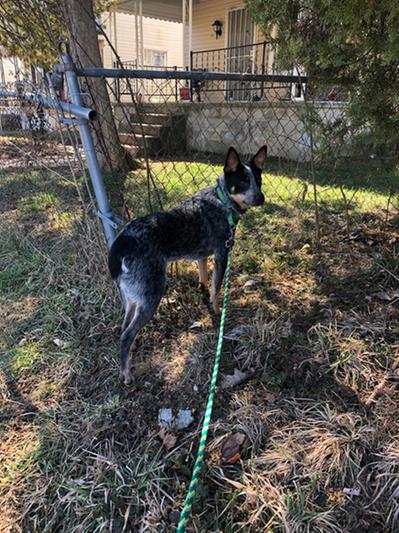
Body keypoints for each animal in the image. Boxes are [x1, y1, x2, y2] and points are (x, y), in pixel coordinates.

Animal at [108, 145, 268, 382]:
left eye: (258, 180)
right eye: (242, 181)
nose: (261, 198)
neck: (222, 201)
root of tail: (122, 241)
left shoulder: (202, 256)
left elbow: (205, 281)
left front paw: (204, 294)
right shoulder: (222, 254)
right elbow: (216, 289)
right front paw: (217, 312)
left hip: (133, 298)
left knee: (124, 327)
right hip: (151, 295)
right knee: (126, 335)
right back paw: (126, 373)